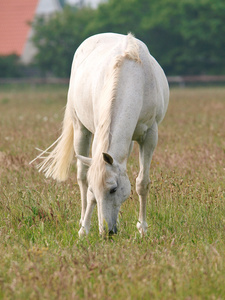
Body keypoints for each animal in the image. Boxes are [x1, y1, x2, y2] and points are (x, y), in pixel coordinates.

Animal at [31, 32, 169, 237]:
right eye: (95, 190)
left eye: (113, 189)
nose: (107, 232)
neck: (132, 77)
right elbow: (88, 185)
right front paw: (84, 230)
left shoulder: (150, 136)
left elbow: (142, 183)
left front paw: (142, 229)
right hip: (81, 130)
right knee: (81, 175)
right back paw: (82, 221)